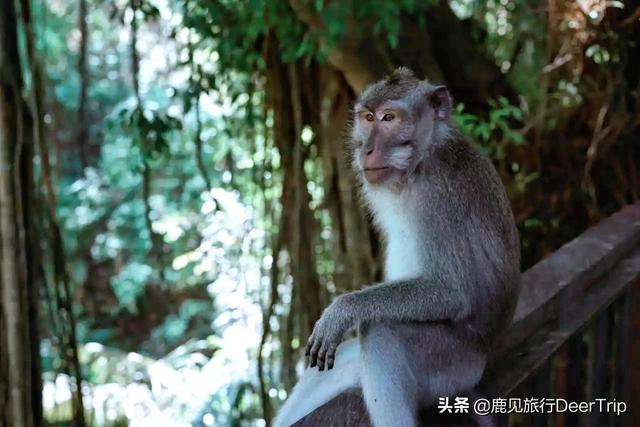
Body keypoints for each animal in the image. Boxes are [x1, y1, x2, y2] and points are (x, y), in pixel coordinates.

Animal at [274, 67, 520, 427]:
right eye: (367, 118)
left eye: (389, 118)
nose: (366, 150)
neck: (419, 164)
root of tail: (482, 360)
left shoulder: (440, 196)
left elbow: (450, 292)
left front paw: (342, 310)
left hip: (450, 367)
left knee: (381, 331)